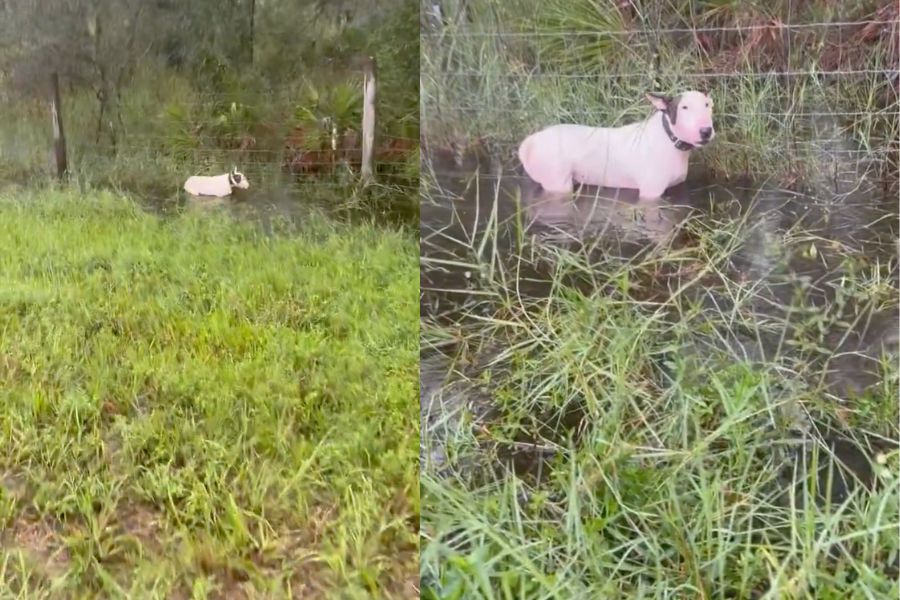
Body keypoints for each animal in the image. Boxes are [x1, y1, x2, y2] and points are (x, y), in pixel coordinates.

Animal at [516, 91, 712, 199]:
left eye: (708, 105)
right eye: (684, 107)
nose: (706, 131)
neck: (668, 139)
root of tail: (531, 141)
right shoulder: (650, 193)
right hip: (557, 182)